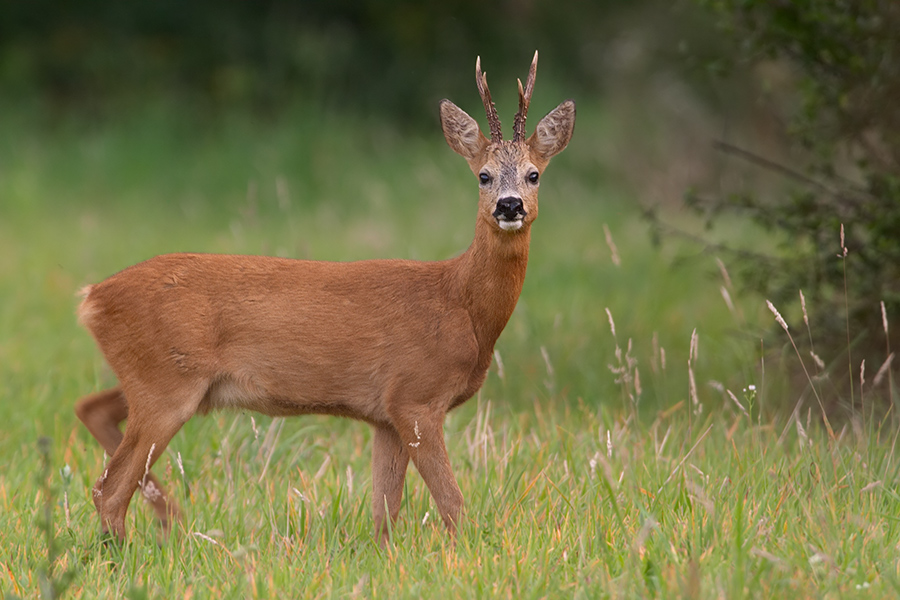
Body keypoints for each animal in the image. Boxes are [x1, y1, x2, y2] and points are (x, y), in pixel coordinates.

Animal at [74, 54, 572, 548]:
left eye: (534, 175)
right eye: (483, 176)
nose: (509, 206)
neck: (461, 304)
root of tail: (92, 297)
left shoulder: (385, 414)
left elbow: (385, 513)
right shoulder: (415, 396)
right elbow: (452, 503)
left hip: (159, 379)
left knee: (91, 412)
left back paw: (172, 521)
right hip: (166, 384)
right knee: (108, 487)